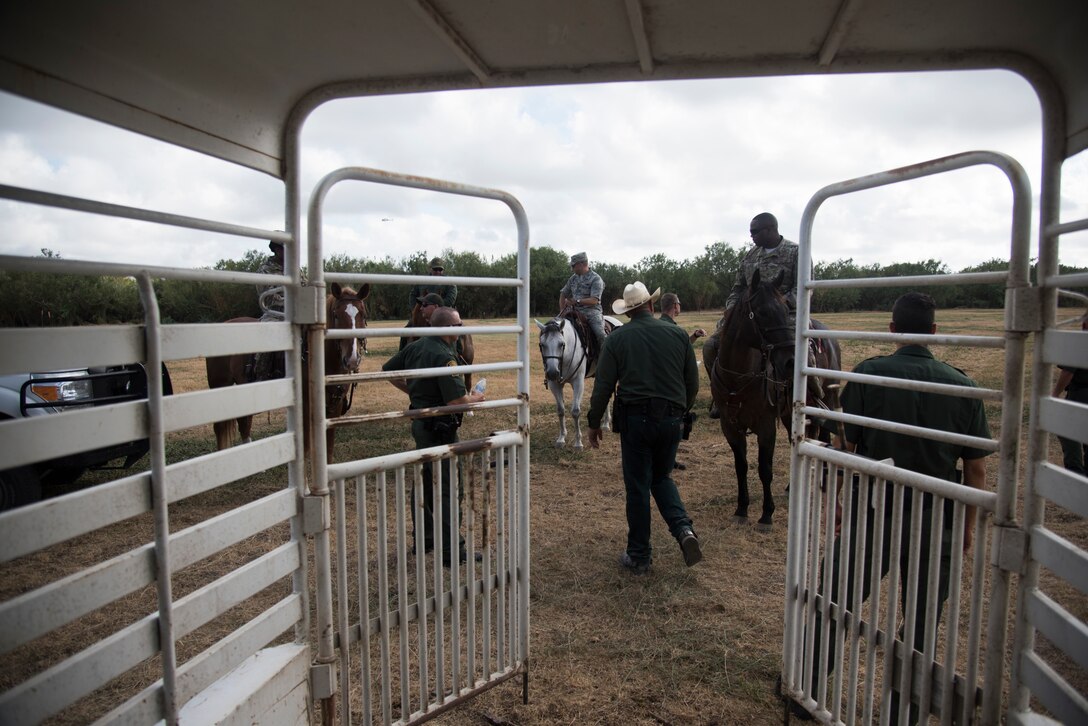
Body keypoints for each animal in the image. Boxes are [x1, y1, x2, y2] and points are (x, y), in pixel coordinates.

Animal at [537, 315, 622, 450]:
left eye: (561, 344)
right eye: (542, 344)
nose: (552, 373)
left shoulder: (578, 382)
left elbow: (575, 411)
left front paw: (578, 443)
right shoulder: (554, 384)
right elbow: (560, 410)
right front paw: (561, 438)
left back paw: (606, 424)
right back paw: (605, 423)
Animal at [705, 269, 839, 531]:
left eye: (787, 310)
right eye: (762, 312)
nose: (790, 361)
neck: (738, 377)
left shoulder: (766, 426)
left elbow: (764, 469)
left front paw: (766, 514)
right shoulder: (730, 426)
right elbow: (741, 467)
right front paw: (741, 509)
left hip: (824, 400)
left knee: (822, 434)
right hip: (789, 414)